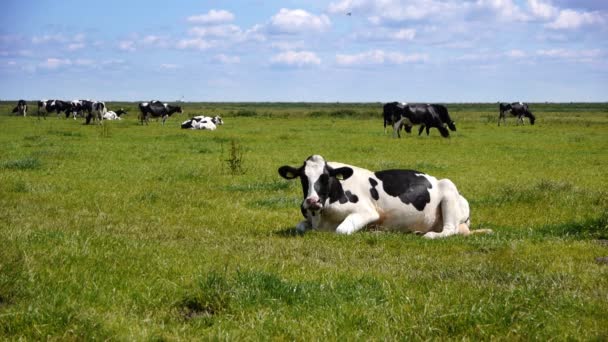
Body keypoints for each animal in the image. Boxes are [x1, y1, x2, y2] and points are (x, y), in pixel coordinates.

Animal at [278, 154, 492, 238]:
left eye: (325, 177)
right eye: (303, 177)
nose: (312, 201)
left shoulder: (367, 212)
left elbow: (342, 229)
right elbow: (299, 227)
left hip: (448, 189)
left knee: (450, 230)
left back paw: (429, 235)